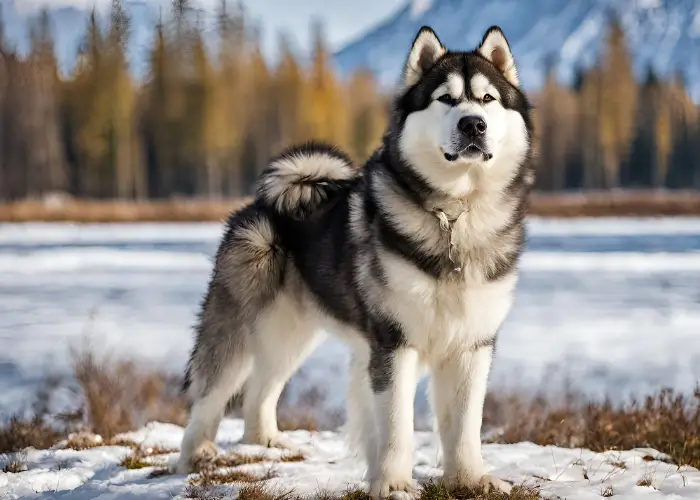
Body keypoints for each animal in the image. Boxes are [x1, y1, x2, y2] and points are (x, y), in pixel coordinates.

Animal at [174, 24, 532, 496]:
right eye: (445, 99)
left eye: (488, 98)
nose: (473, 123)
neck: (455, 215)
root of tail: (266, 202)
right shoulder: (393, 342)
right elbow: (397, 424)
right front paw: (394, 483)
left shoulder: (473, 343)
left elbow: (465, 426)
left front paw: (471, 479)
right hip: (238, 327)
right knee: (212, 391)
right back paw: (195, 453)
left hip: (291, 333)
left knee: (261, 389)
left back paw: (264, 440)